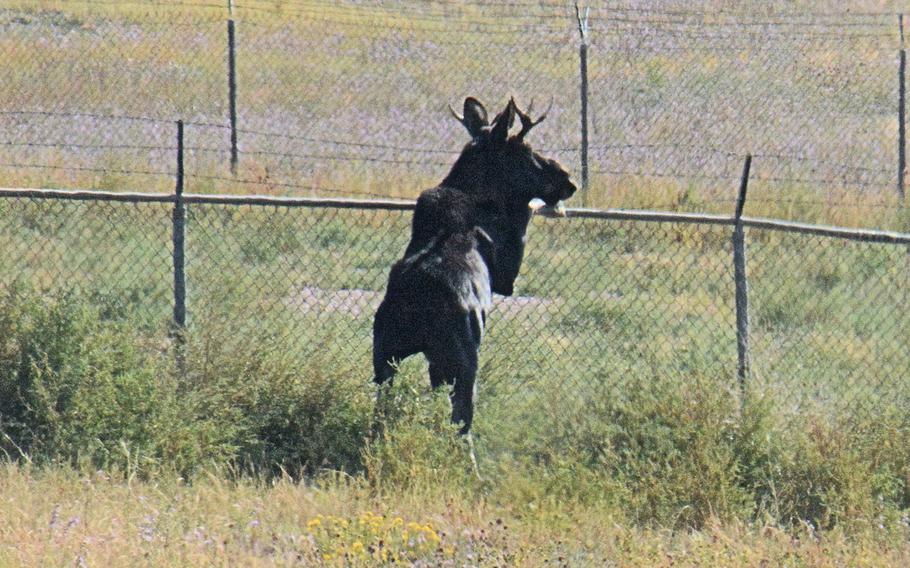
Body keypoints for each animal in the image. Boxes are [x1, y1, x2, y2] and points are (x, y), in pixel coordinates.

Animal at [372, 96, 576, 434]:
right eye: (527, 151)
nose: (568, 181)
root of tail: (415, 302)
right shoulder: (507, 273)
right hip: (461, 358)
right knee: (461, 418)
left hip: (385, 354)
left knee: (381, 406)